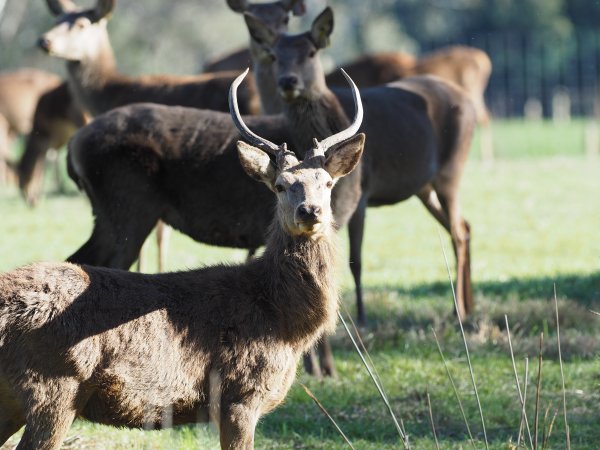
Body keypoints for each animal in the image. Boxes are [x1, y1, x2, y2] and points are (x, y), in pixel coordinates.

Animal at [0, 69, 366, 450]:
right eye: (280, 185)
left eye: (327, 183)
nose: (310, 211)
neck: (281, 320)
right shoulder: (238, 395)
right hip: (53, 385)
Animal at [244, 7, 478, 324]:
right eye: (275, 55)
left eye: (311, 52)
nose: (288, 82)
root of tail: (471, 103)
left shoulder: (362, 191)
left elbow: (356, 259)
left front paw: (362, 318)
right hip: (424, 187)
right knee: (465, 227)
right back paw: (470, 305)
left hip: (451, 170)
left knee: (458, 232)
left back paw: (459, 311)